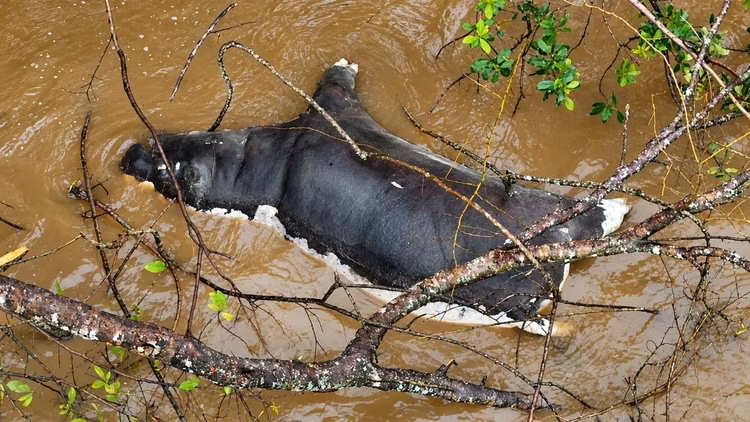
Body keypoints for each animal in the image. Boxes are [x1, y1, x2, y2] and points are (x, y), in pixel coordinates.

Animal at [121, 59, 628, 335]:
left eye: (170, 170)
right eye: (163, 136)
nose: (130, 151)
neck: (263, 155)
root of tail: (564, 236)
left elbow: (333, 85)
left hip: (502, 302)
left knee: (542, 323)